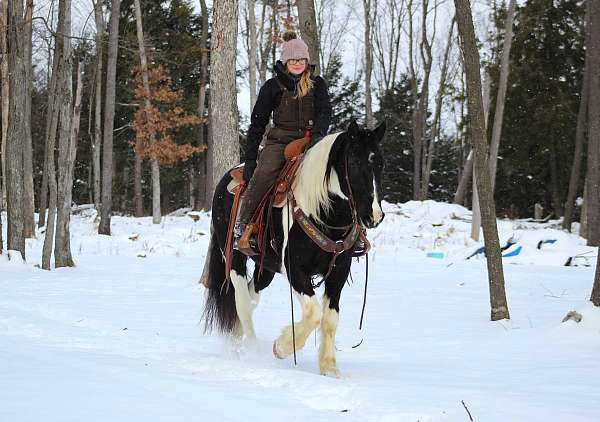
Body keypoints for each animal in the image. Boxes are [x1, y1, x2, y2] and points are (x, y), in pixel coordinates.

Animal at [202, 119, 386, 376]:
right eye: (355, 162)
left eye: (380, 163)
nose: (374, 216)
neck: (321, 211)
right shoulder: (296, 270)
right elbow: (314, 313)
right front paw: (282, 347)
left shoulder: (338, 271)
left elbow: (330, 319)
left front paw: (329, 368)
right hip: (233, 256)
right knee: (242, 302)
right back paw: (250, 351)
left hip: (265, 269)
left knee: (250, 297)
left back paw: (236, 342)